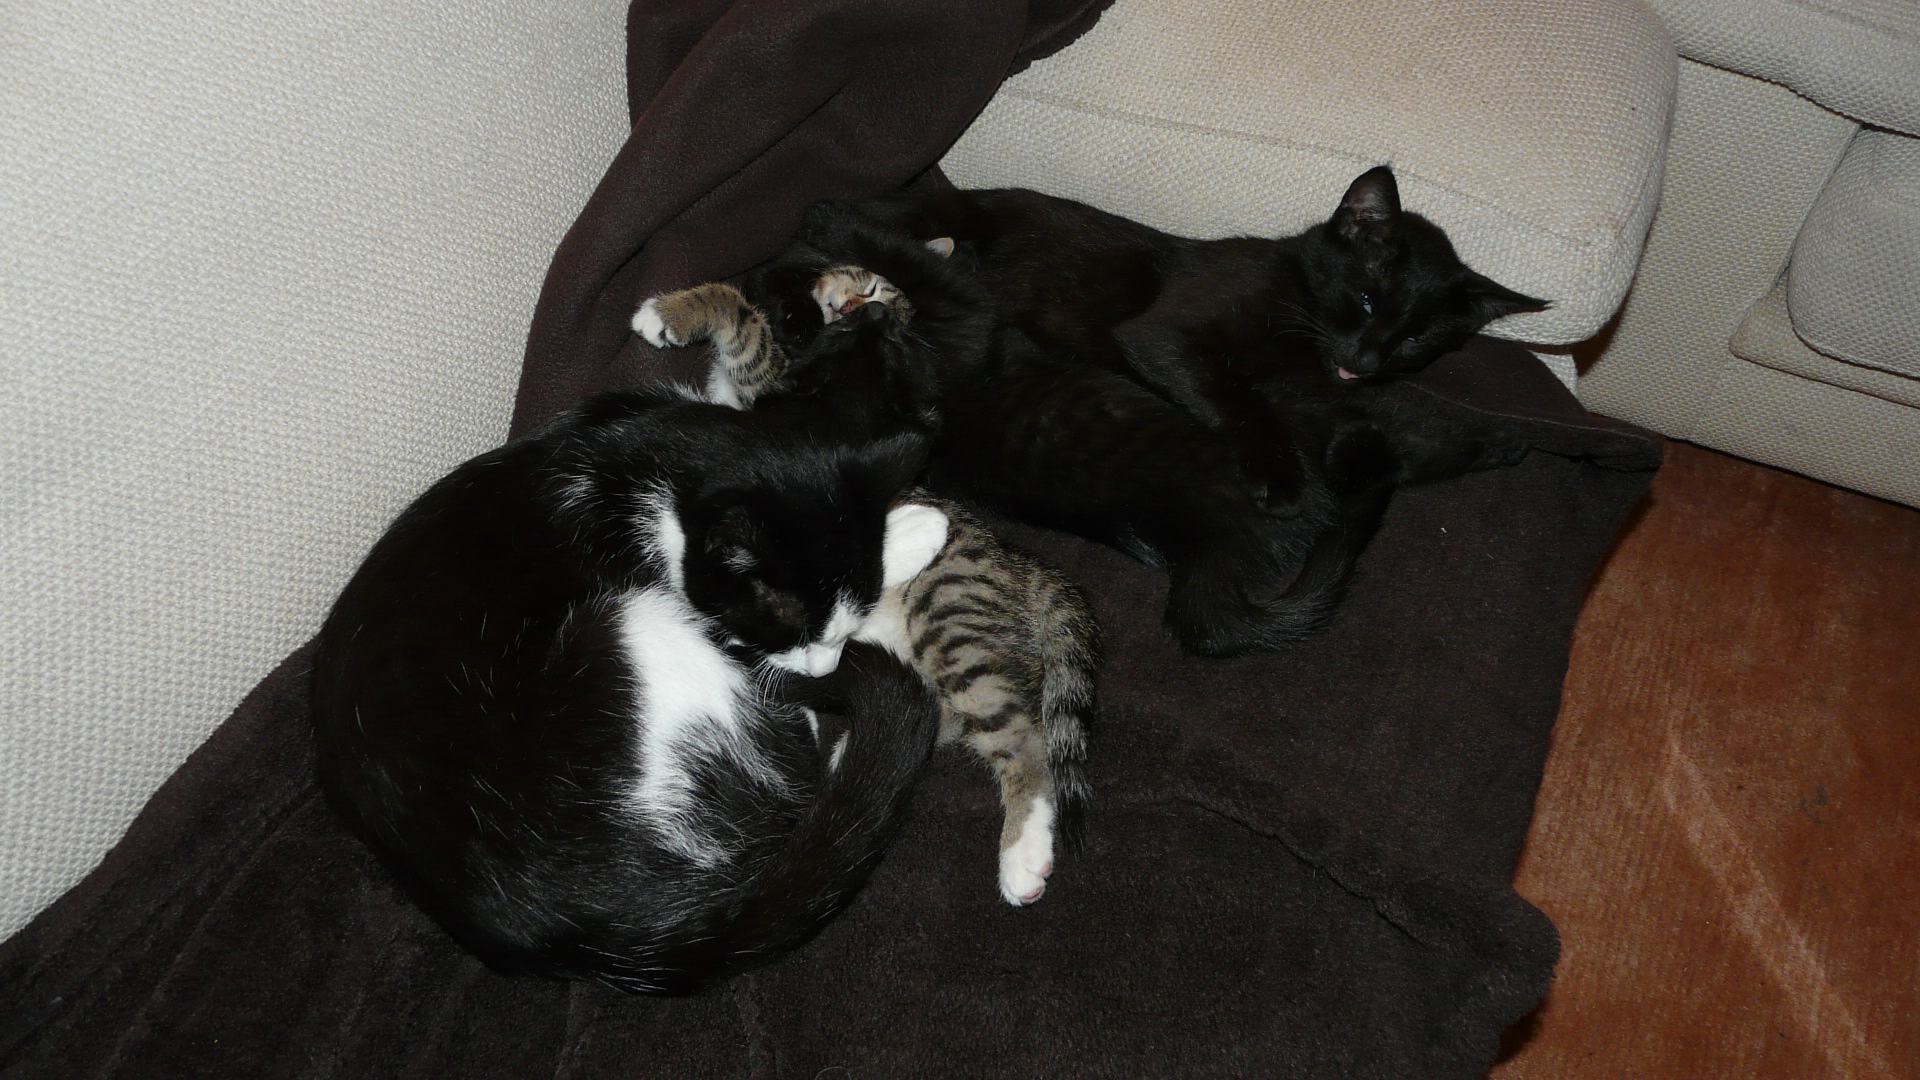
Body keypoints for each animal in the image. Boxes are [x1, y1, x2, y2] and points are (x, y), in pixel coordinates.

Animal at [310, 376, 955, 994]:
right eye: (783, 625)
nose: (821, 670)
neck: (654, 461)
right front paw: (916, 530)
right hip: (632, 627)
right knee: (787, 773)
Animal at [637, 250, 1099, 908]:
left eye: (878, 299)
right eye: (865, 284)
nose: (864, 306)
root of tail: (1022, 564)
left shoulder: (763, 390)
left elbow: (744, 323)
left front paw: (667, 315)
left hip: (949, 613)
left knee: (1020, 735)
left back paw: (1023, 854)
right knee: (934, 710)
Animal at [856, 168, 1546, 655]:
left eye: (1416, 338)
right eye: (1368, 299)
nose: (1368, 358)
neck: (1303, 325)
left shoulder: (1326, 393)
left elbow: (1408, 425)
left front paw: (1502, 438)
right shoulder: (1166, 337)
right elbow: (1235, 395)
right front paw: (1282, 480)